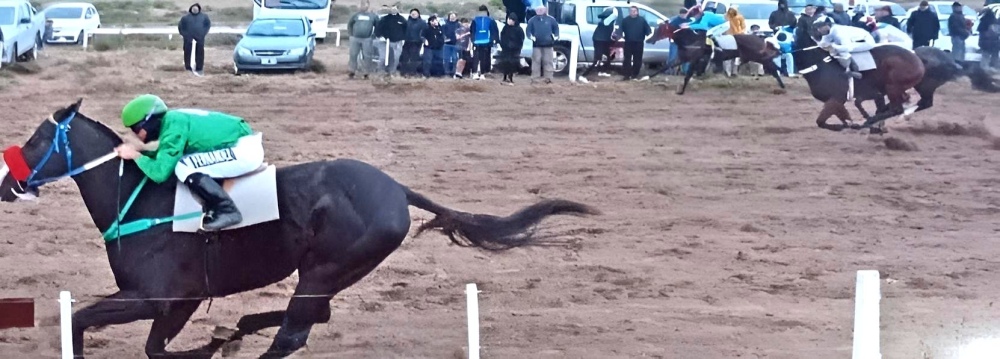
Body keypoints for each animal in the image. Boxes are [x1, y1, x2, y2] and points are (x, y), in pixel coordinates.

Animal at [0, 100, 596, 358]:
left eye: (35, 141)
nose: (9, 182)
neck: (140, 198)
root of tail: (397, 189)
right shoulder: (179, 302)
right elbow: (155, 348)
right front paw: (216, 340)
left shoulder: (157, 295)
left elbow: (84, 323)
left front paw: (213, 344)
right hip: (327, 273)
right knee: (309, 318)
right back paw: (238, 327)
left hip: (328, 266)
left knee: (293, 333)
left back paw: (246, 334)